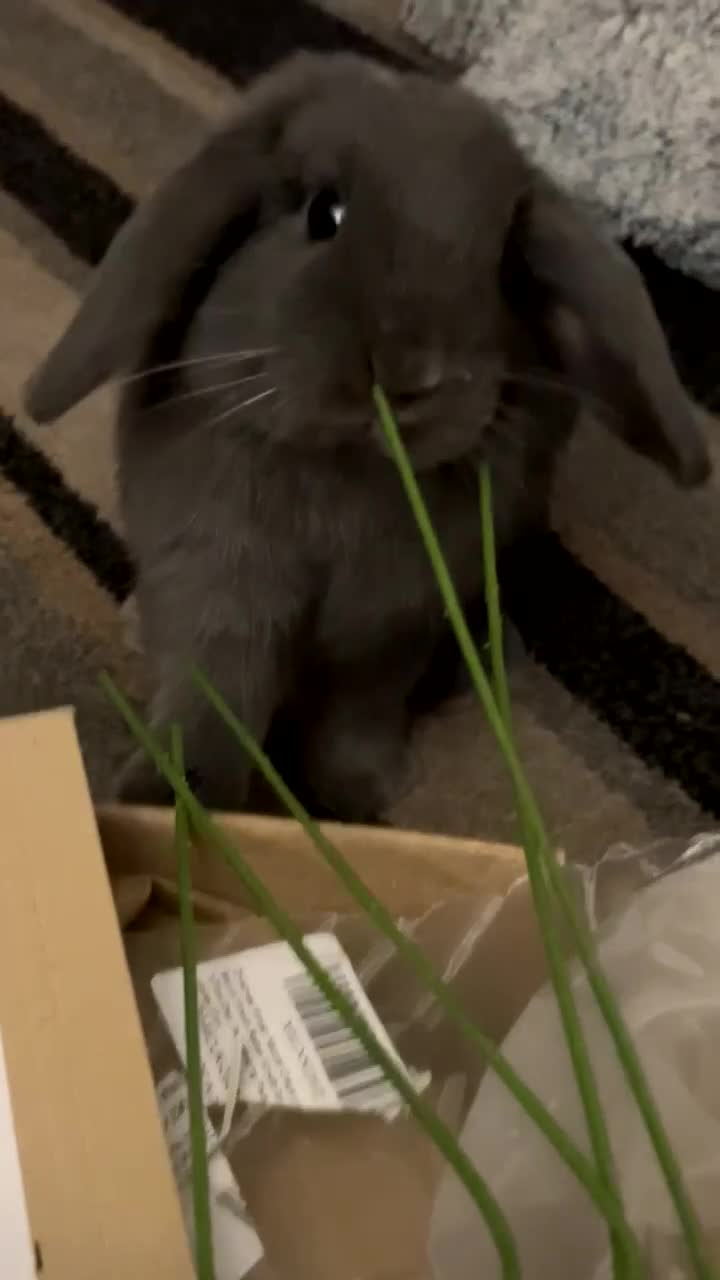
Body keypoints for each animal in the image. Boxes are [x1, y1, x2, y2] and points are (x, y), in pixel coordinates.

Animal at [24, 51, 710, 822]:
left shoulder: (393, 624)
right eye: (325, 212)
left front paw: (357, 798)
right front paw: (176, 799)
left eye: (501, 262)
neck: (342, 472)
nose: (409, 376)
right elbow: (216, 688)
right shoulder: (222, 584)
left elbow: (359, 711)